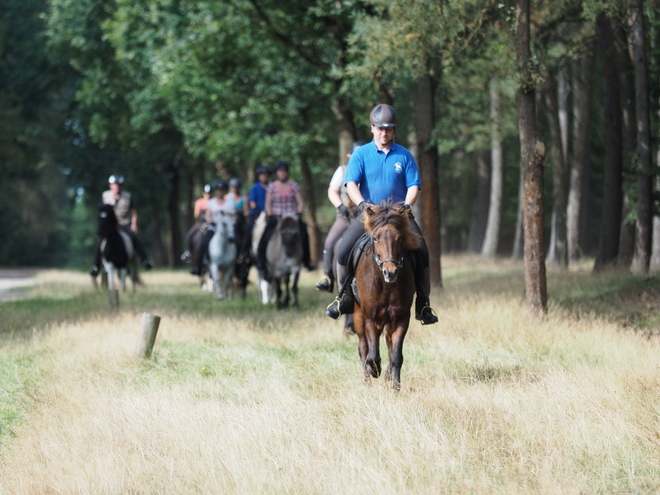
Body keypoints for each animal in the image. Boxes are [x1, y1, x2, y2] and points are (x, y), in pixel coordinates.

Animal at [354, 203, 420, 390]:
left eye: (399, 238)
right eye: (376, 238)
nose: (390, 272)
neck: (386, 285)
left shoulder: (401, 318)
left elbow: (396, 355)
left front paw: (396, 386)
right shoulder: (370, 319)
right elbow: (373, 354)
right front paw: (373, 370)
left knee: (389, 345)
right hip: (358, 316)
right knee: (363, 348)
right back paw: (367, 381)